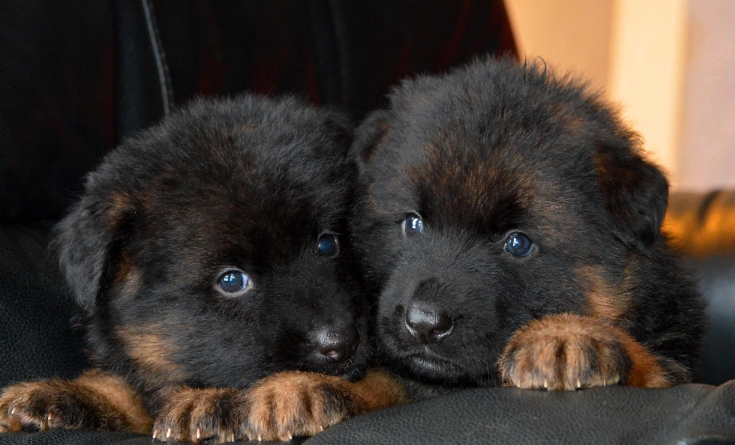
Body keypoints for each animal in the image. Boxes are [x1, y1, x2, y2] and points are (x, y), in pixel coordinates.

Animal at [0, 96, 402, 440]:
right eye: (232, 280)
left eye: (327, 244)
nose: (341, 343)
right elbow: (127, 389)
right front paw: (59, 394)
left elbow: (383, 380)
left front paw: (299, 387)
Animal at [344, 57, 708, 398]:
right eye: (413, 224)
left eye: (518, 243)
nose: (425, 324)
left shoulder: (671, 359)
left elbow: (650, 362)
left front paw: (565, 334)